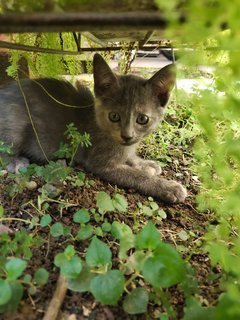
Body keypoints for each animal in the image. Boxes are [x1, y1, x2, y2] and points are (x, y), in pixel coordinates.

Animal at [0, 52, 187, 202]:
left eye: (142, 119)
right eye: (114, 116)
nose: (127, 136)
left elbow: (131, 158)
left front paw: (146, 164)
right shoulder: (100, 163)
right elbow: (135, 175)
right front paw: (168, 187)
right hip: (15, 124)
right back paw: (16, 162)